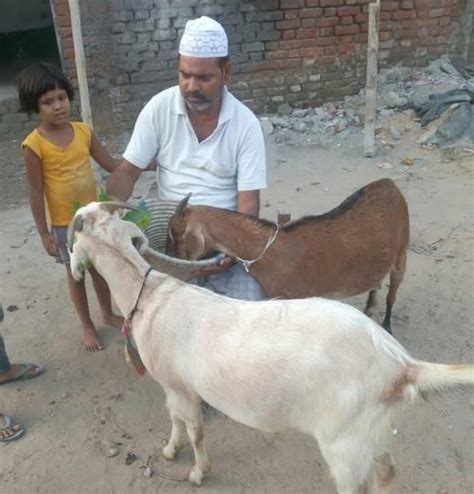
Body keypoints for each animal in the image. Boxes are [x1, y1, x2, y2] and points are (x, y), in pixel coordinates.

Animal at [68, 202, 472, 494]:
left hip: (344, 442)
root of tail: (402, 365)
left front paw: (198, 473)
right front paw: (170, 450)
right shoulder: (173, 384)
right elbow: (175, 420)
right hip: (373, 431)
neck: (150, 296)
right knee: (386, 473)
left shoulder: (184, 388)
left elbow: (196, 430)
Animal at [166, 178, 408, 332]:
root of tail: (390, 184)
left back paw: (387, 325)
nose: (175, 263)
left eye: (177, 234)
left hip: (402, 251)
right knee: (376, 283)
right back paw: (369, 308)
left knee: (393, 291)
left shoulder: (296, 296)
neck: (272, 250)